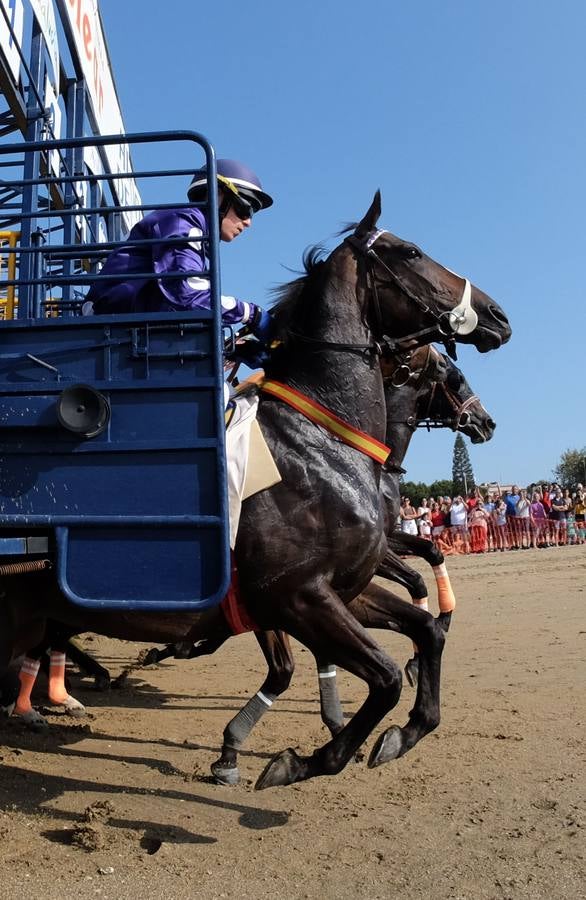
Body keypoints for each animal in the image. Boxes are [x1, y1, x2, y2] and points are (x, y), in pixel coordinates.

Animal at [0, 192, 512, 788]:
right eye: (410, 252)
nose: (499, 317)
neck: (326, 440)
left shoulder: (339, 588)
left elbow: (425, 628)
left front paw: (400, 728)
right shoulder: (295, 594)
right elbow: (378, 674)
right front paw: (303, 757)